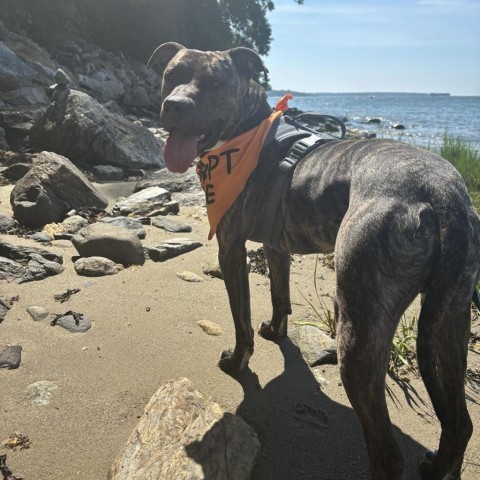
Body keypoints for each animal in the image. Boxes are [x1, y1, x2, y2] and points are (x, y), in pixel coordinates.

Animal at [148, 42, 478, 480]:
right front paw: (276, 330)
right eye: (172, 75)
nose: (175, 105)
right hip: (451, 319)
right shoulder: (277, 247)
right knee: (460, 425)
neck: (246, 132)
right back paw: (441, 463)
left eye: (215, 83)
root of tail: (442, 194)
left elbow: (241, 321)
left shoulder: (231, 249)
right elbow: (279, 295)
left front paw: (237, 362)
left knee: (389, 454)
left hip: (359, 327)